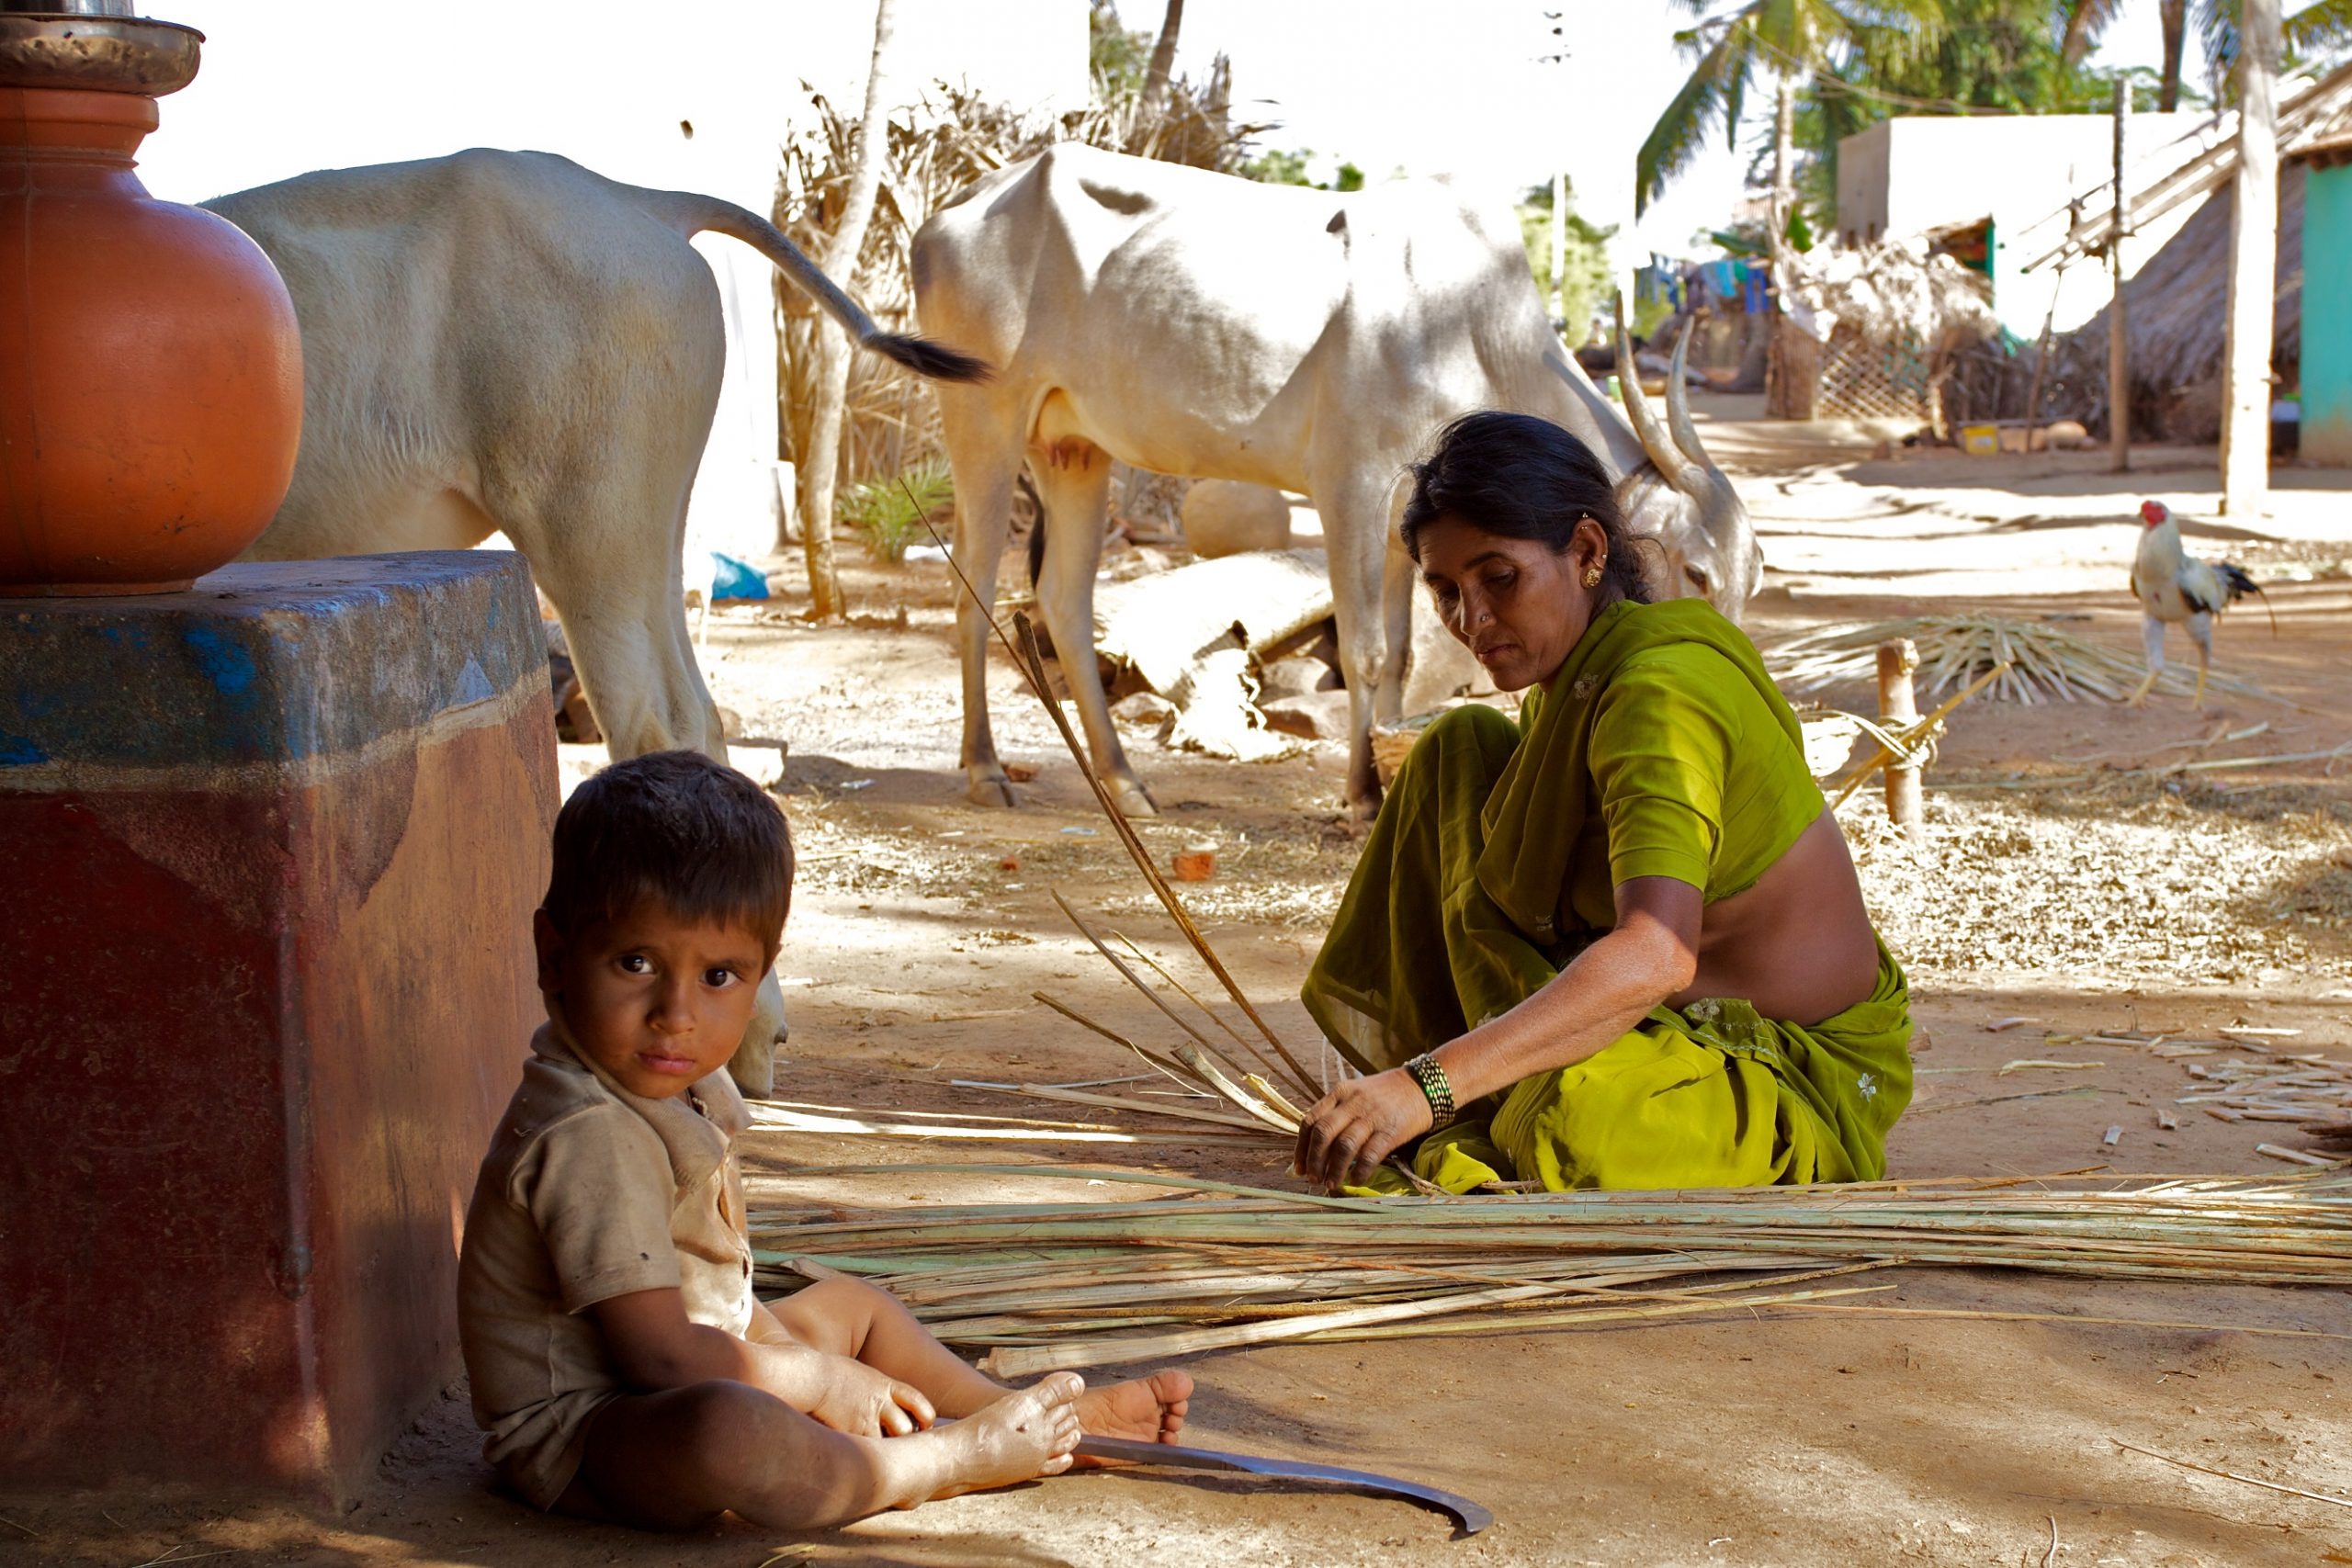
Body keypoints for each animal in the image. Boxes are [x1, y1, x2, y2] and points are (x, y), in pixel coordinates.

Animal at [211, 152, 992, 1100]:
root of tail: (644, 201)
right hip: (648, 528)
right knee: (701, 719)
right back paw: (750, 1042)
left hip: (587, 524)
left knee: (653, 724)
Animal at [908, 143, 1758, 822]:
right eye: (1697, 570)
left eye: (1750, 578)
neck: (1472, 326)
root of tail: (949, 216)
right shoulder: (1350, 486)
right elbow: (1367, 652)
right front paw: (1360, 796)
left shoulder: (1405, 527)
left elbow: (1407, 654)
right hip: (983, 414)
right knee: (970, 588)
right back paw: (987, 770)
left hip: (1073, 447)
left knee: (1064, 599)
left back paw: (1125, 783)